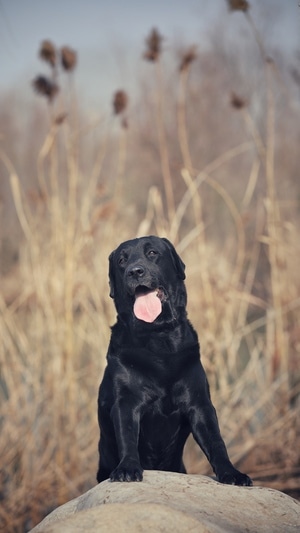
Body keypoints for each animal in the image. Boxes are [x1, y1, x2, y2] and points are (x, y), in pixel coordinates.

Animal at [97, 235, 252, 484]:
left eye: (152, 253)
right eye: (122, 260)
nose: (135, 271)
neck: (158, 338)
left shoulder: (199, 403)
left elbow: (216, 441)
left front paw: (232, 473)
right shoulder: (126, 402)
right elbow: (127, 437)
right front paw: (127, 468)